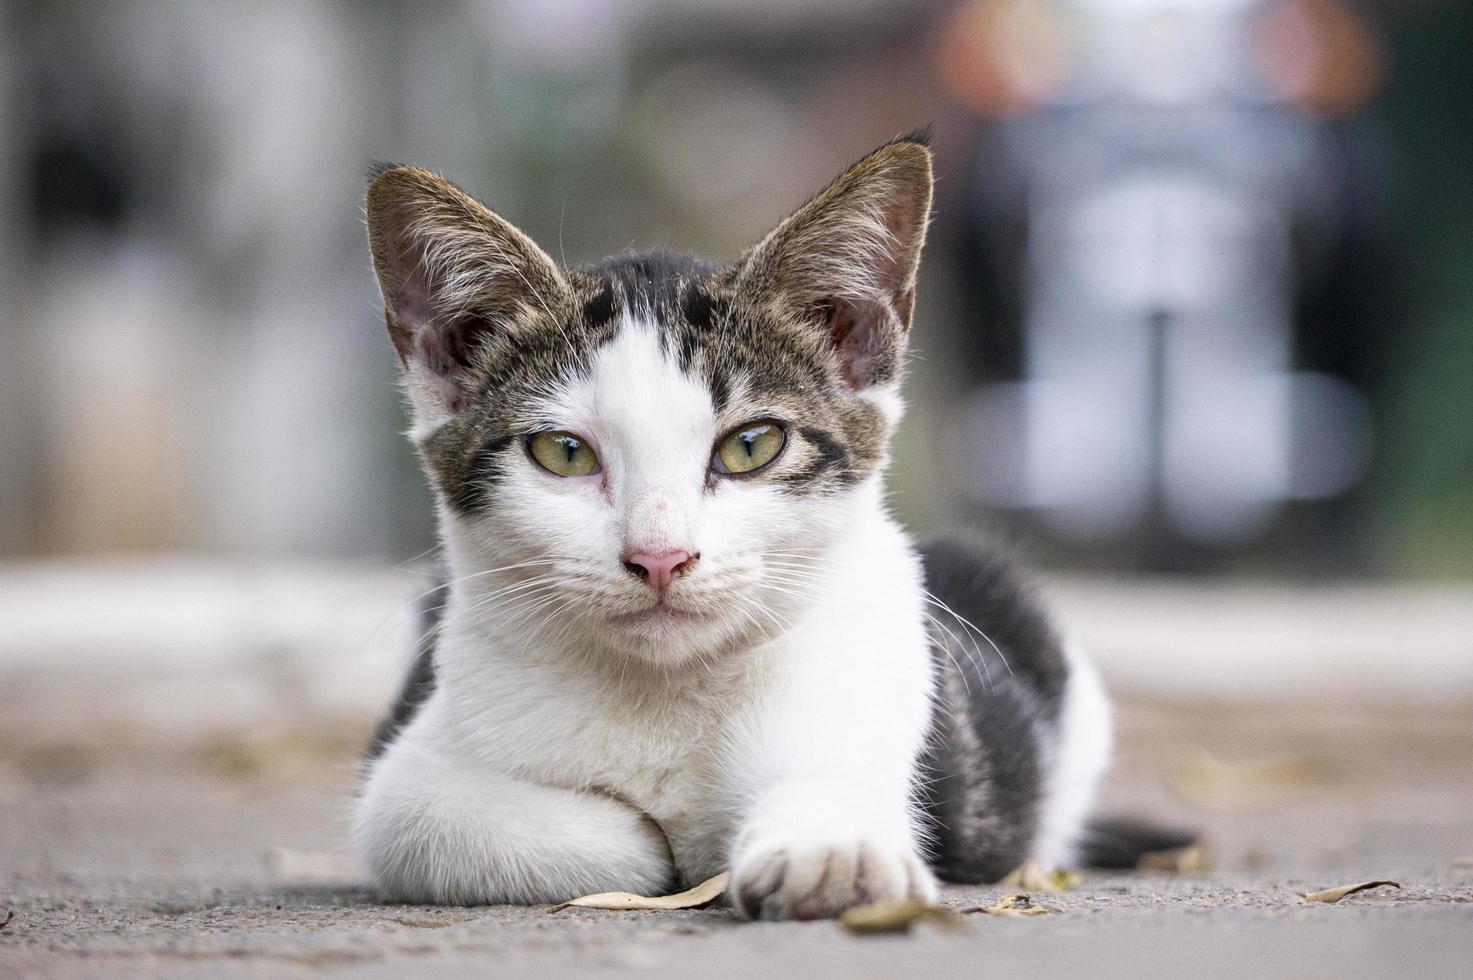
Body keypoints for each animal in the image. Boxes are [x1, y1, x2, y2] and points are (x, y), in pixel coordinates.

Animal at [353, 135, 1172, 919]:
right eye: (564, 452)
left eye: (751, 446)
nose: (660, 556)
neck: (663, 696)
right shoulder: (403, 772)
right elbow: (439, 819)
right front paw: (663, 847)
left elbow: (832, 778)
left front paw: (828, 848)